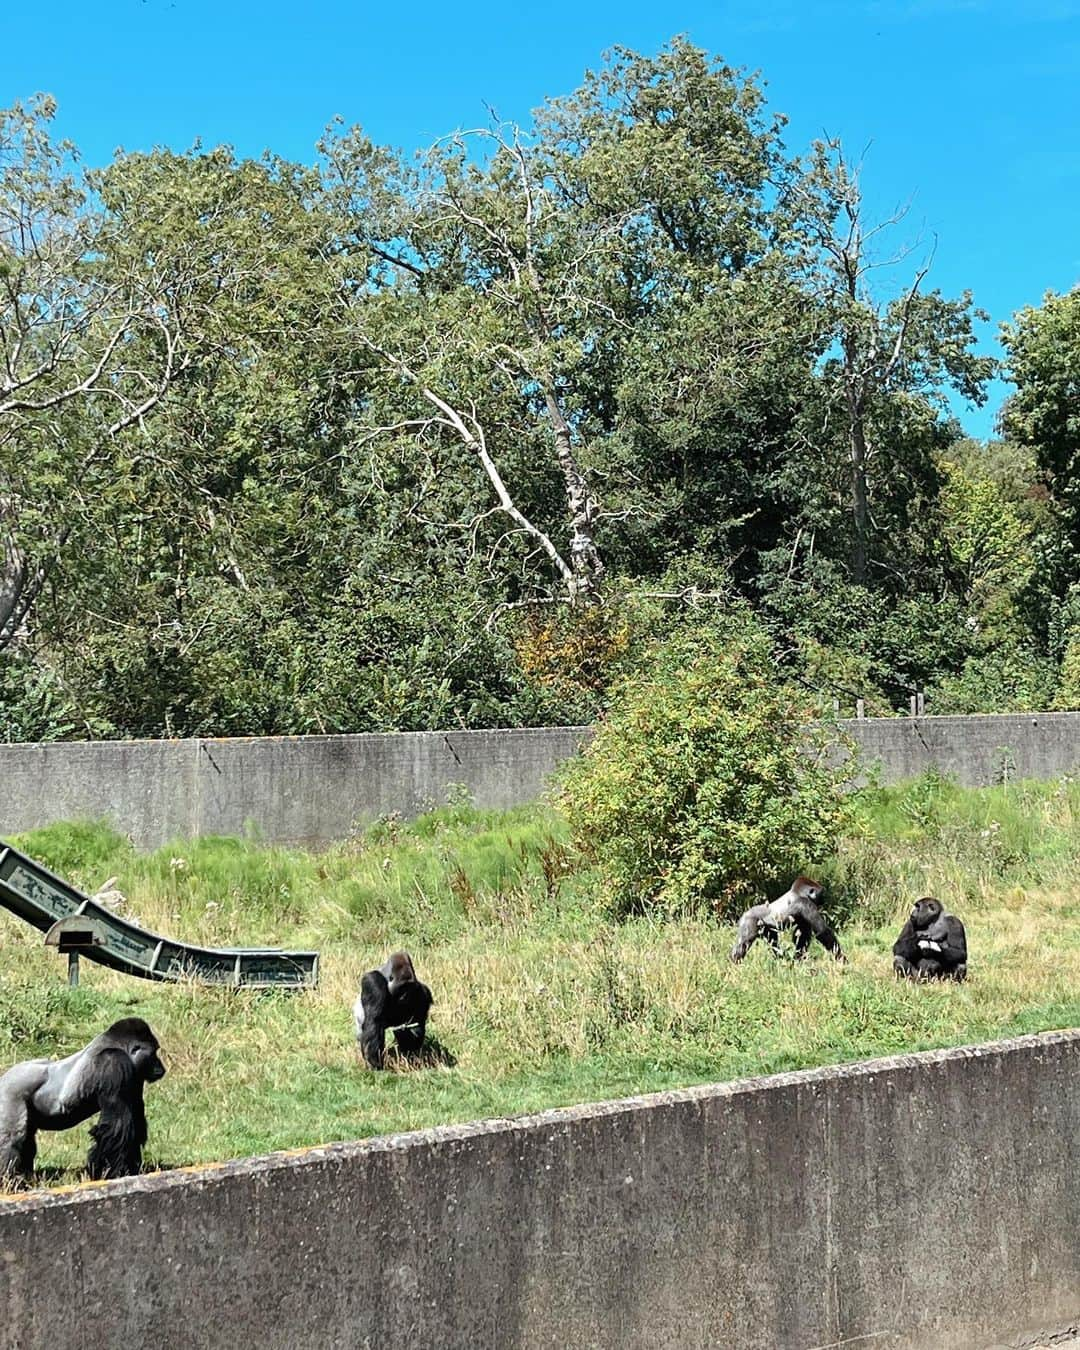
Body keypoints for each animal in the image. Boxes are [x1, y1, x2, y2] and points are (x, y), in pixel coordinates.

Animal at [0, 1015, 166, 1188]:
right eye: (154, 1053)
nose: (161, 1068)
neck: (116, 1045)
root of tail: (4, 1077)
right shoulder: (114, 1062)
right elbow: (115, 1129)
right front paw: (110, 1174)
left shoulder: (135, 1075)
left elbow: (134, 1122)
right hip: (10, 1092)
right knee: (12, 1139)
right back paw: (9, 1182)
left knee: (26, 1139)